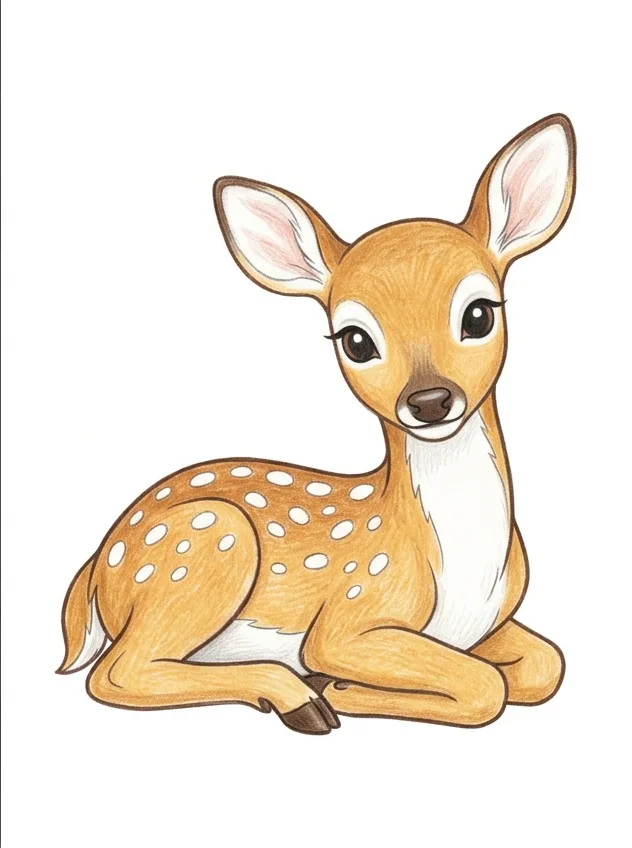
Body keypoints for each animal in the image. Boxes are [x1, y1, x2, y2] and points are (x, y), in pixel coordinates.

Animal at [57, 115, 576, 734]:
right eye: (355, 340)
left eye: (479, 313)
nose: (429, 400)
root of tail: (96, 567)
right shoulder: (347, 616)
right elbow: (483, 685)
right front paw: (342, 688)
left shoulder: (488, 627)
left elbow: (544, 665)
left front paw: (350, 689)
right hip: (208, 542)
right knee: (115, 673)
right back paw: (297, 697)